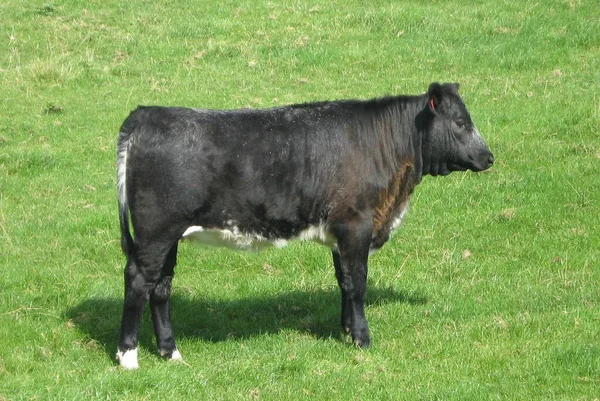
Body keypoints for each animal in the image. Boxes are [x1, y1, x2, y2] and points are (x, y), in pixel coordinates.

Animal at [115, 82, 494, 368]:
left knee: (161, 286)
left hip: (168, 237)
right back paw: (128, 356)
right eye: (460, 122)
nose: (489, 157)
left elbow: (344, 282)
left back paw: (170, 352)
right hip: (156, 231)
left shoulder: (341, 233)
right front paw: (363, 339)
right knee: (139, 281)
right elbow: (358, 284)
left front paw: (346, 331)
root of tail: (147, 113)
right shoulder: (356, 225)